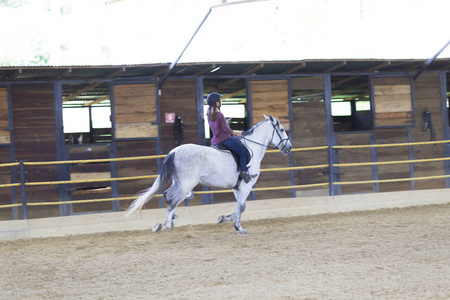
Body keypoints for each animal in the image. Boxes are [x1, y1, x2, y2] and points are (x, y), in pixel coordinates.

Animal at [124, 115, 292, 234]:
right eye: (282, 130)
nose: (289, 147)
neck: (252, 148)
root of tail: (174, 151)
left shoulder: (236, 187)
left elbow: (240, 207)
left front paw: (224, 218)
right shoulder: (246, 186)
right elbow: (241, 206)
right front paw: (238, 227)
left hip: (179, 183)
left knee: (168, 195)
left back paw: (171, 219)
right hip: (187, 185)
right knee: (172, 201)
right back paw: (167, 224)